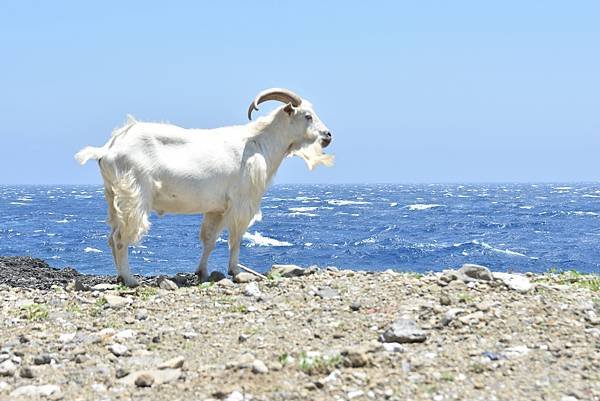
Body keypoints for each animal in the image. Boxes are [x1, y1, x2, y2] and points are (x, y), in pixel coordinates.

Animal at [75, 89, 332, 286]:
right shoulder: (242, 202)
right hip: (134, 195)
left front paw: (203, 272)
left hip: (114, 196)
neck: (259, 143)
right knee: (121, 237)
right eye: (307, 116)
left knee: (112, 237)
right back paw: (130, 280)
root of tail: (107, 149)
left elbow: (210, 239)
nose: (328, 135)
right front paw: (236, 271)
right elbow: (236, 237)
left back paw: (121, 276)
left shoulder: (217, 208)